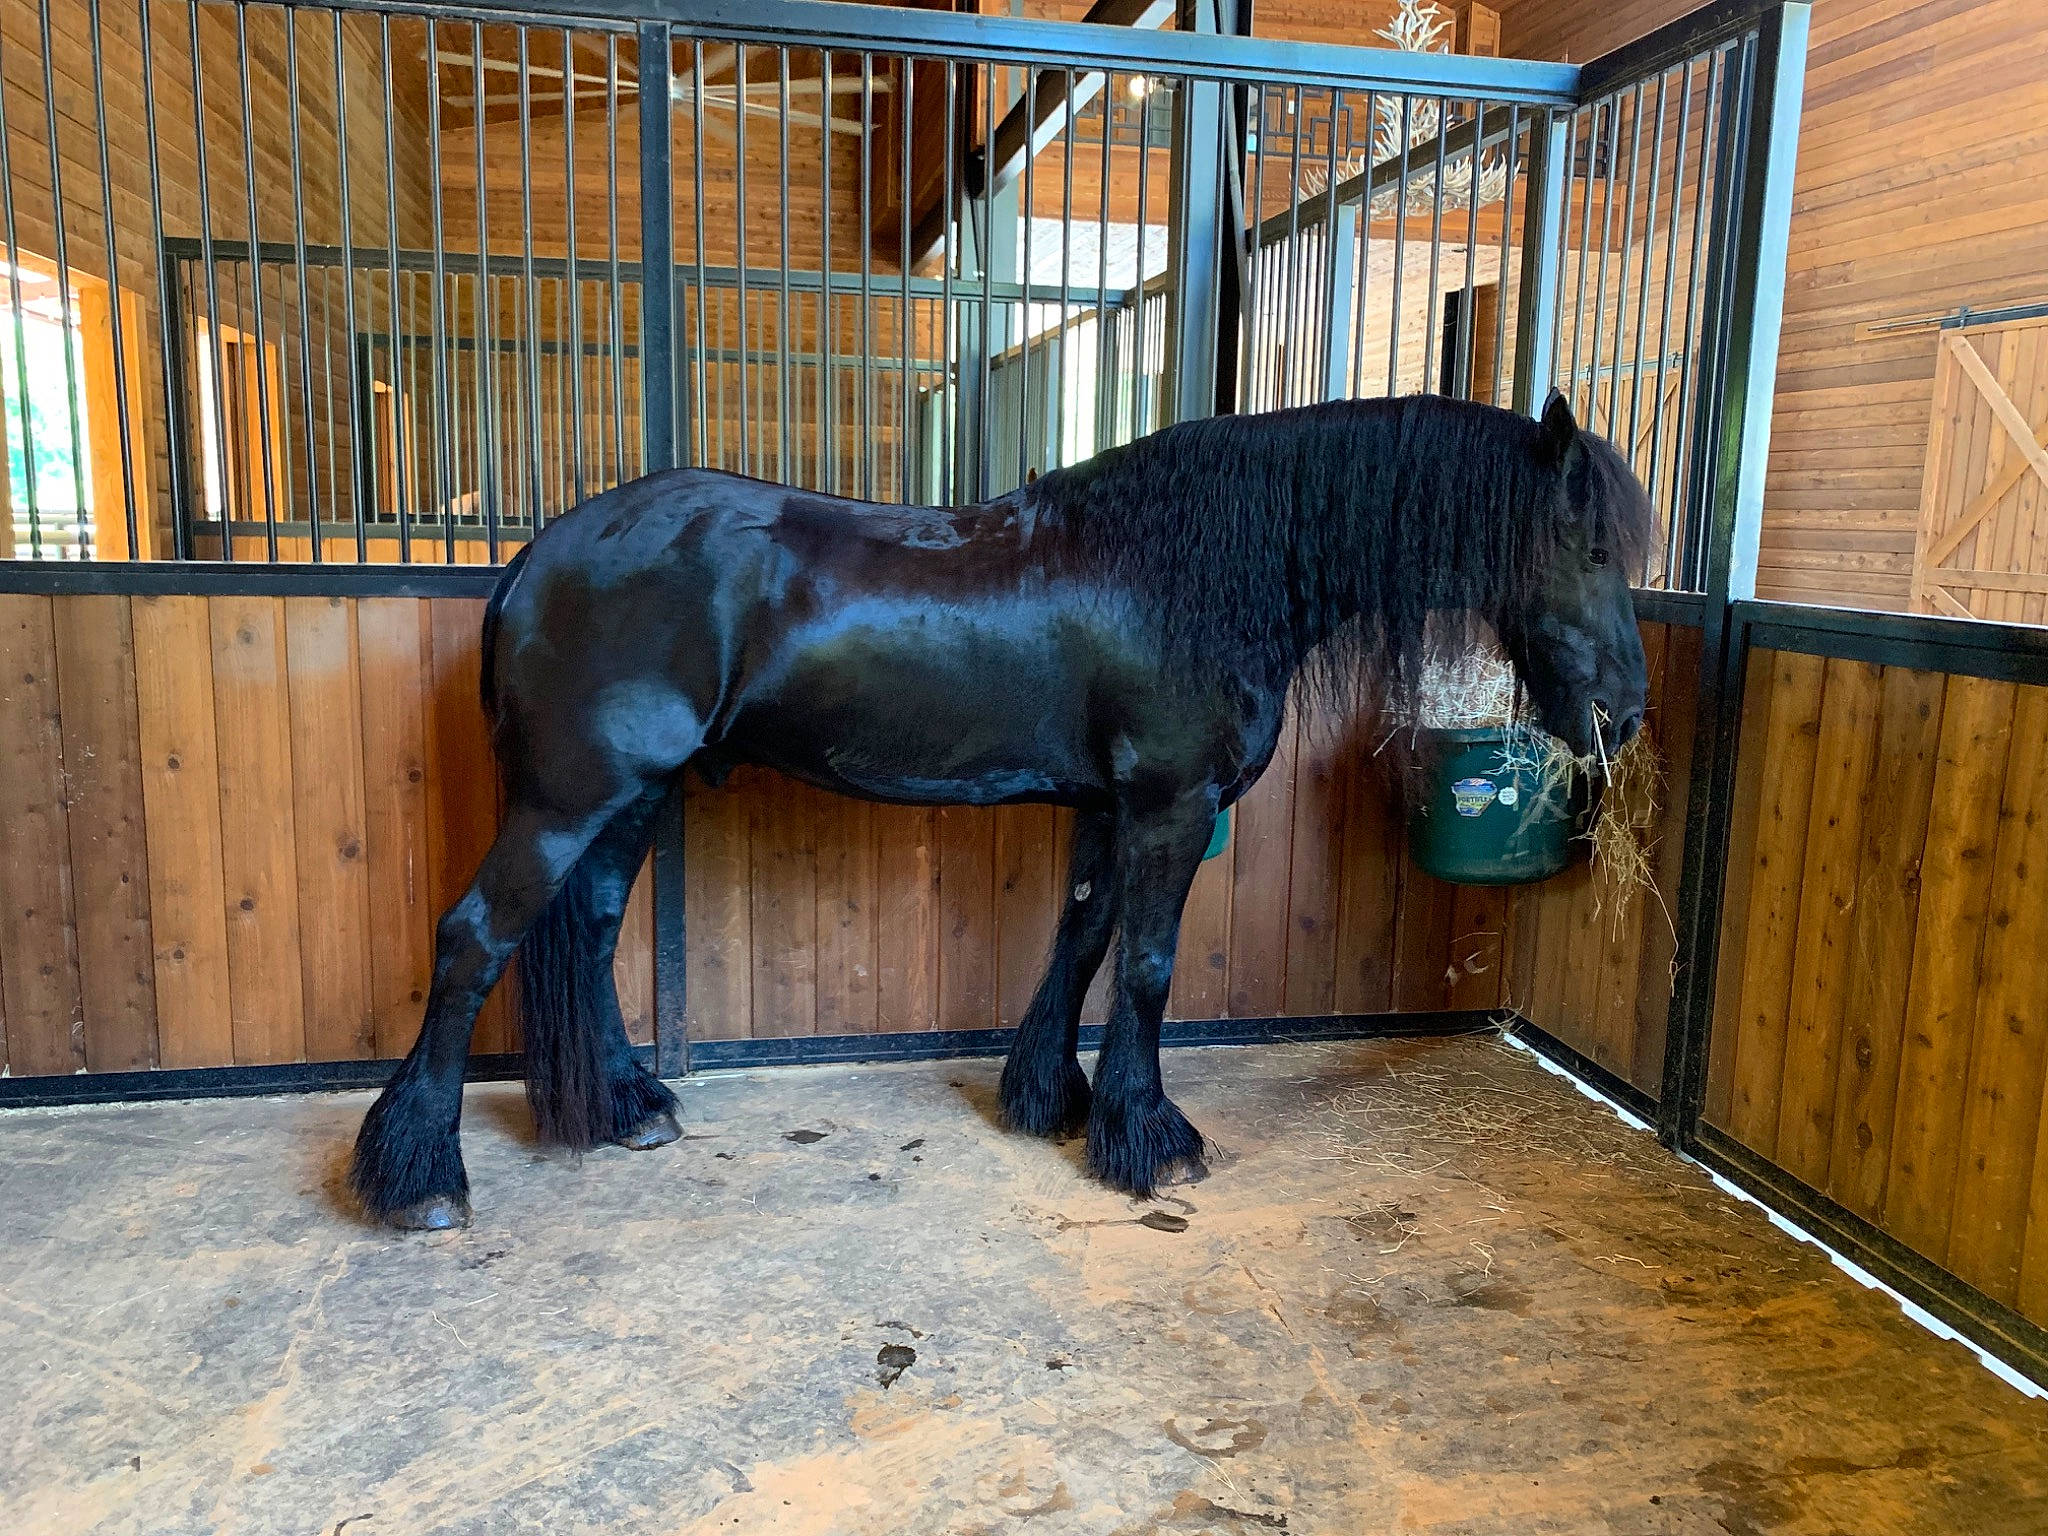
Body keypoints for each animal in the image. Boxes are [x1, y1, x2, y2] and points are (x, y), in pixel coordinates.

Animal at [348, 389, 1652, 1230]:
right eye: (1582, 543)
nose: (1625, 711)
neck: (1183, 577)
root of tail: (537, 556)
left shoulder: (1109, 806)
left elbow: (1079, 937)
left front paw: (1049, 1101)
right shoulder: (1170, 805)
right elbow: (1146, 967)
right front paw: (1147, 1138)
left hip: (631, 800)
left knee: (590, 933)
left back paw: (624, 1109)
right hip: (573, 797)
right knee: (472, 942)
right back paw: (421, 1181)